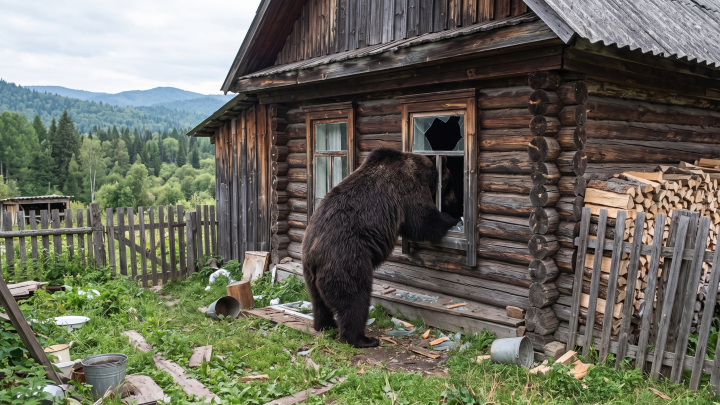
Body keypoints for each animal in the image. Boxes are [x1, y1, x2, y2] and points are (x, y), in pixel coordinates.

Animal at [301, 147, 459, 348]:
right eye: (450, 182)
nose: (454, 201)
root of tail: (313, 254)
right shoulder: (407, 189)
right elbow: (422, 219)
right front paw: (451, 219)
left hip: (310, 274)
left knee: (318, 301)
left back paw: (325, 325)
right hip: (347, 259)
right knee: (355, 298)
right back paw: (362, 339)